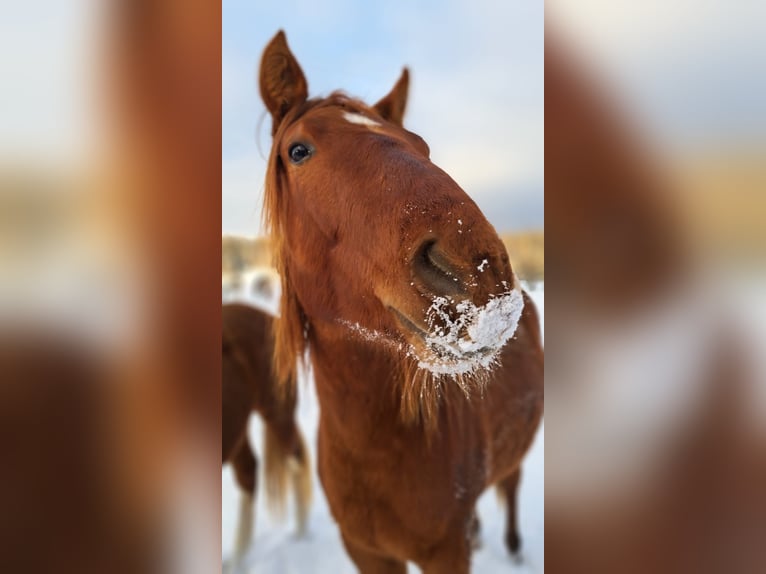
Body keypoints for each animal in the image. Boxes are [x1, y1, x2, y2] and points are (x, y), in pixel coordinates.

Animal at [257, 31, 544, 573]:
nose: (482, 272)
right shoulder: (365, 551)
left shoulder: (445, 553)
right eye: (298, 150)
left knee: (512, 484)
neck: (376, 448)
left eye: (422, 146)